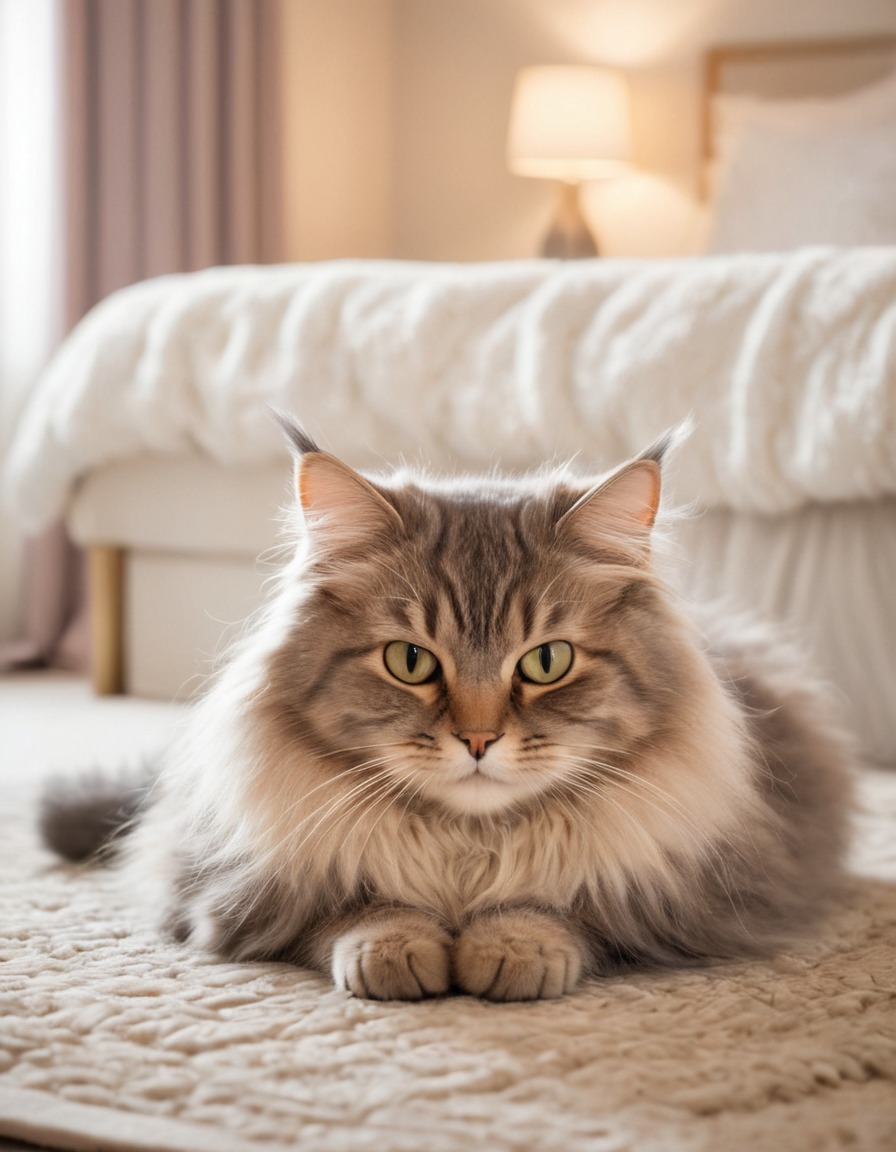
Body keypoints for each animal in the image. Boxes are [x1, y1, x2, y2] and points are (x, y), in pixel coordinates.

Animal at [42, 421, 847, 999]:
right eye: (411, 662)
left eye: (547, 662)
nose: (479, 739)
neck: (465, 854)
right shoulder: (225, 891)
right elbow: (350, 904)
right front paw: (396, 947)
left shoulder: (697, 897)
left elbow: (566, 904)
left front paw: (514, 945)